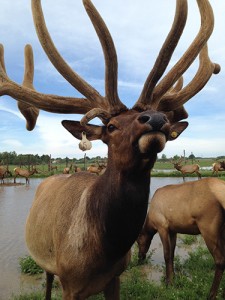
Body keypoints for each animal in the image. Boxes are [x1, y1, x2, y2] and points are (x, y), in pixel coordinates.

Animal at [0, 0, 221, 298]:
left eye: (158, 116)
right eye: (112, 126)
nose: (156, 118)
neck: (105, 250)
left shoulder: (115, 276)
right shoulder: (69, 284)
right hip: (45, 261)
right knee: (46, 281)